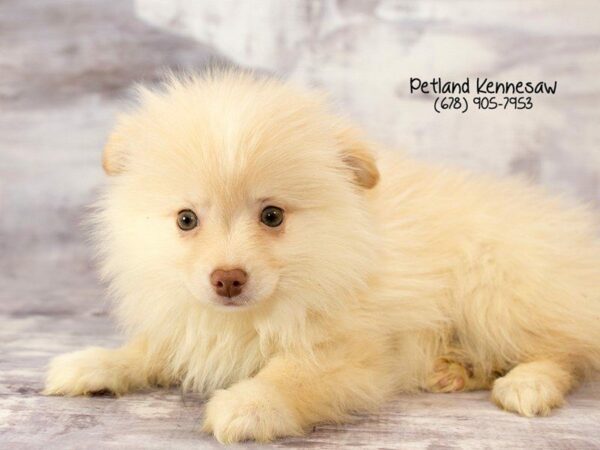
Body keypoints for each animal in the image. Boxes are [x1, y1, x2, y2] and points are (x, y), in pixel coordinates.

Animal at [45, 67, 600, 442]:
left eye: (272, 216)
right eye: (186, 220)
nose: (227, 279)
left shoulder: (351, 351)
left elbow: (293, 375)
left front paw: (249, 405)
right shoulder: (194, 321)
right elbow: (150, 348)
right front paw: (95, 363)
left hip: (498, 285)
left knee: (566, 351)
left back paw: (527, 384)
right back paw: (453, 370)